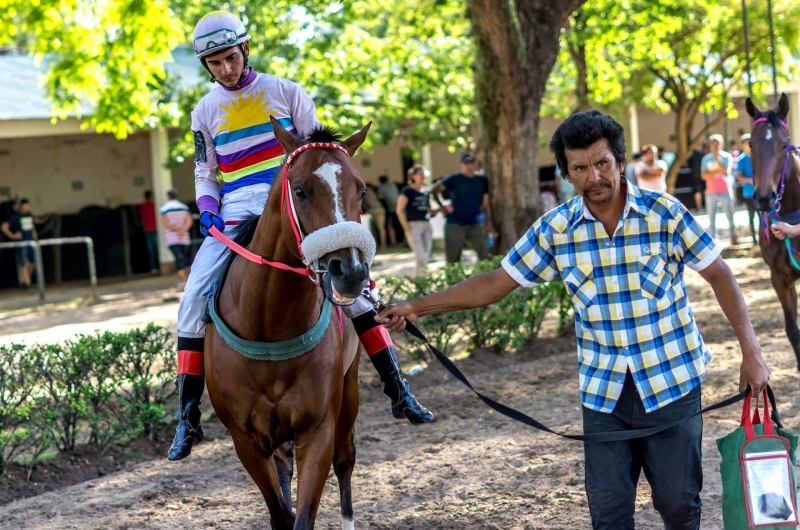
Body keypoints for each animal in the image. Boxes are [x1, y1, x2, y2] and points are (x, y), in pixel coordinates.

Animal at [203, 117, 372, 524]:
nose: (351, 270)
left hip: (350, 389)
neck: (270, 327)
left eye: (361, 190)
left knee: (346, 460)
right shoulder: (245, 440)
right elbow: (281, 512)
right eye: (300, 191)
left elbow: (305, 514)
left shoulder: (318, 429)